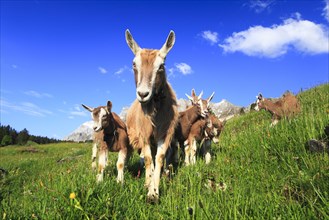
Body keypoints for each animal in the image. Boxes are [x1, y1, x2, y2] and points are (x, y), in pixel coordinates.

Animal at [124, 29, 178, 203]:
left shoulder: (165, 133)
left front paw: (154, 193)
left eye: (161, 66)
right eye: (134, 64)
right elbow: (148, 159)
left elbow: (159, 157)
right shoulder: (144, 134)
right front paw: (149, 185)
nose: (143, 94)